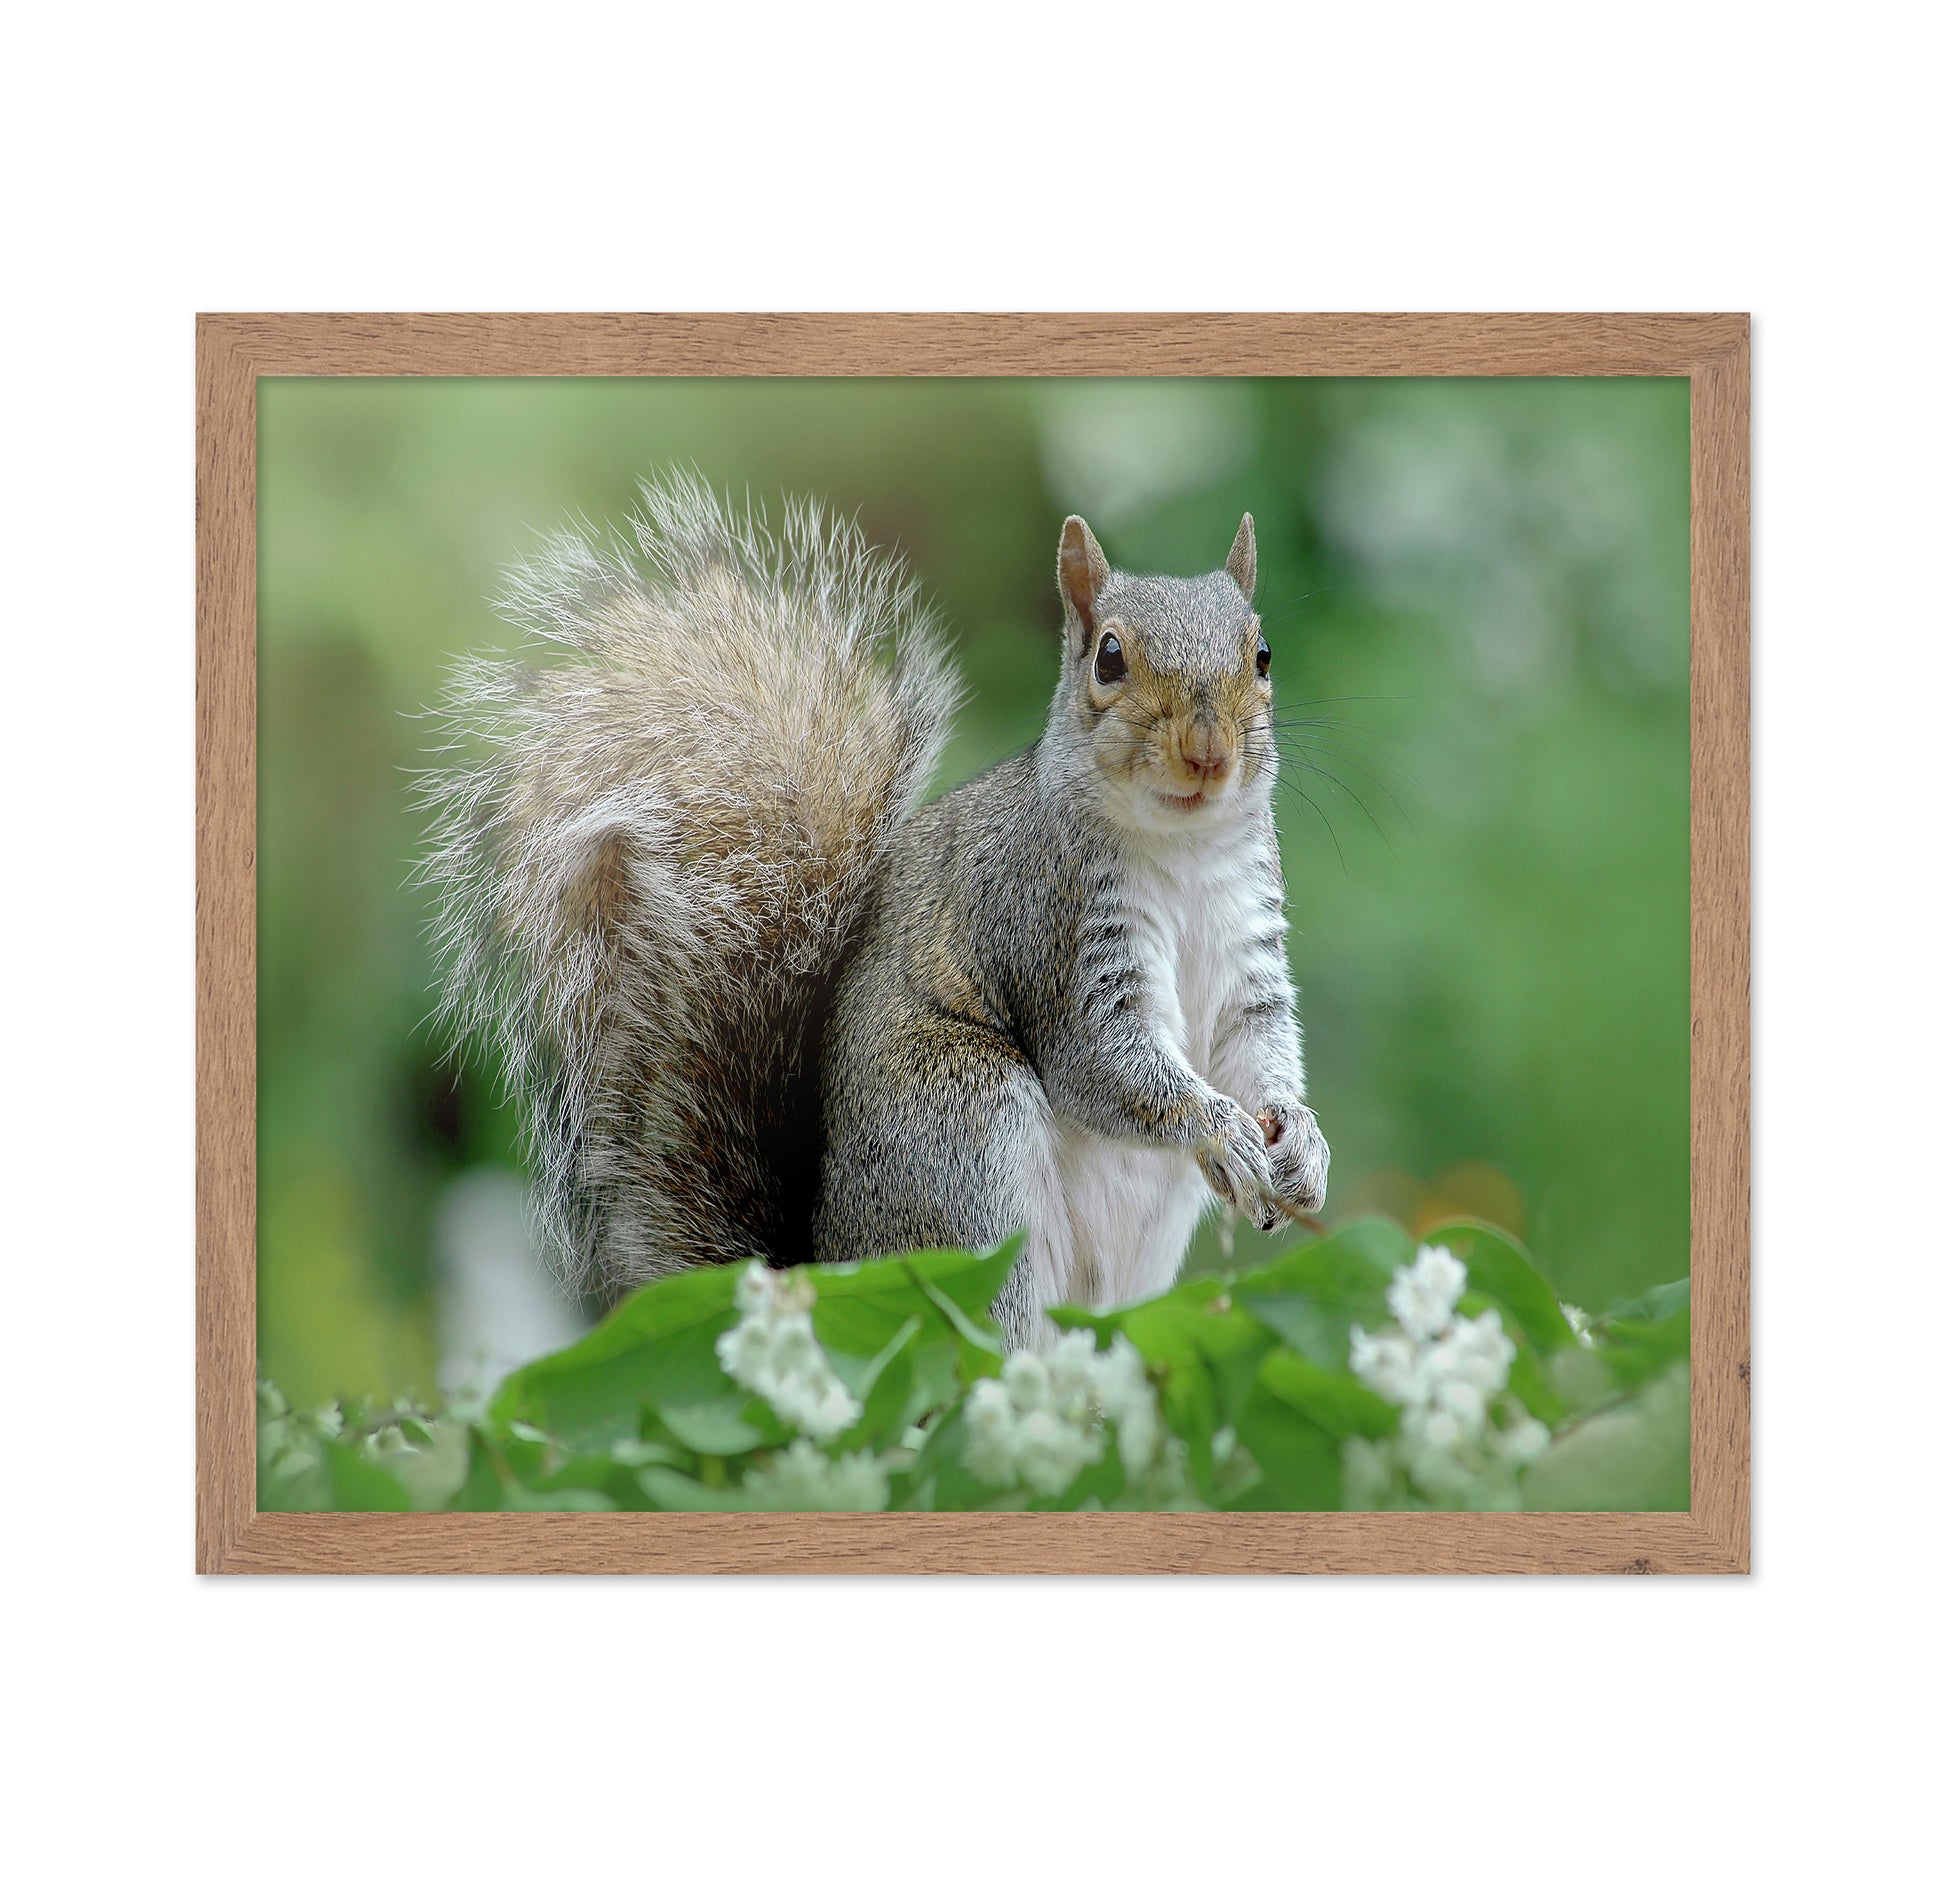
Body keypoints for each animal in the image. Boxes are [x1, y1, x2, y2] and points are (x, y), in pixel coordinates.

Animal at [420, 475, 1328, 1349]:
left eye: (1262, 653)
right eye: (1109, 656)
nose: (1208, 753)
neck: (1183, 851)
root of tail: (824, 1272)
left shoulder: (1250, 952)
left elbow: (1257, 1045)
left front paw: (1301, 1142)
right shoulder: (1050, 927)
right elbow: (1103, 1063)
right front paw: (1221, 1127)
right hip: (961, 1140)